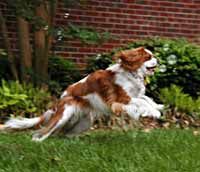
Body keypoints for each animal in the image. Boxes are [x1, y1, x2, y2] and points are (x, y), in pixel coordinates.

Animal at [0, 46, 163, 141]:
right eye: (149, 57)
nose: (158, 60)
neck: (131, 72)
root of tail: (58, 102)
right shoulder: (121, 100)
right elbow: (141, 102)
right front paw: (154, 112)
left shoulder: (133, 96)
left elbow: (146, 98)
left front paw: (157, 107)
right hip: (64, 114)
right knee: (45, 131)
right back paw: (39, 141)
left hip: (84, 121)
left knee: (64, 133)